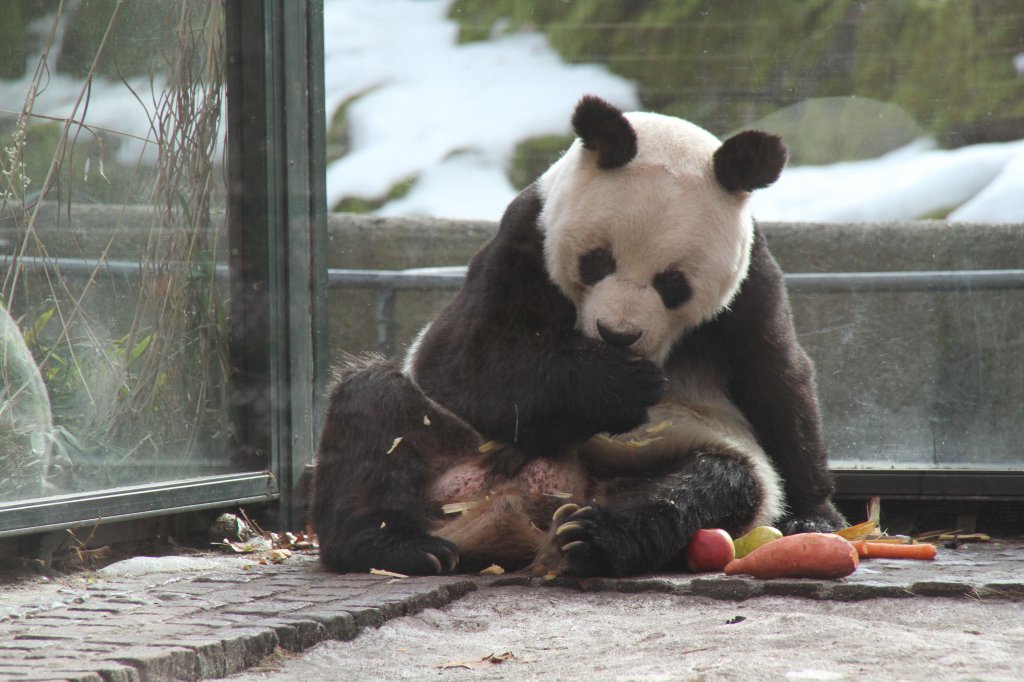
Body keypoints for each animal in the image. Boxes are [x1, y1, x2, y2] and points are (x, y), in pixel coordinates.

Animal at [313, 93, 847, 577]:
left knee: (709, 485)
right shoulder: (526, 239)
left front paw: (815, 517)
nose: (617, 333)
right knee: (377, 409)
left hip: (668, 457)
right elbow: (460, 363)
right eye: (597, 261)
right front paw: (624, 385)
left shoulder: (751, 283)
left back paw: (593, 538)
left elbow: (776, 381)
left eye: (672, 283)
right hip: (453, 443)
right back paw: (394, 546)